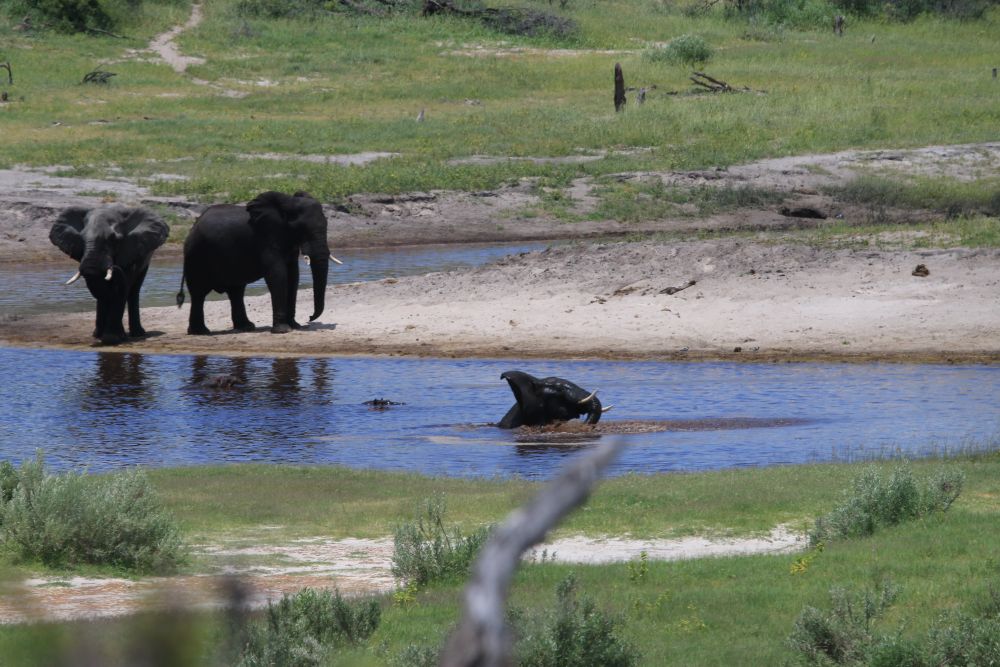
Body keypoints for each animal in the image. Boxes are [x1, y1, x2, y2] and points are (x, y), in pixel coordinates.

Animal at [49, 205, 169, 345]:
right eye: (81, 239)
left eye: (114, 240)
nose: (114, 265)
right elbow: (104, 290)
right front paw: (104, 336)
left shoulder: (131, 250)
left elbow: (121, 288)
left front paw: (112, 339)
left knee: (133, 289)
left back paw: (137, 334)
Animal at [177, 190, 337, 335]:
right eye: (302, 228)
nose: (310, 318)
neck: (287, 203)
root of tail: (192, 228)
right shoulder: (266, 238)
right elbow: (278, 275)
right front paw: (283, 330)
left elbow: (293, 277)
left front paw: (295, 326)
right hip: (196, 256)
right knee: (199, 294)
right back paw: (201, 332)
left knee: (236, 291)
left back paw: (245, 327)